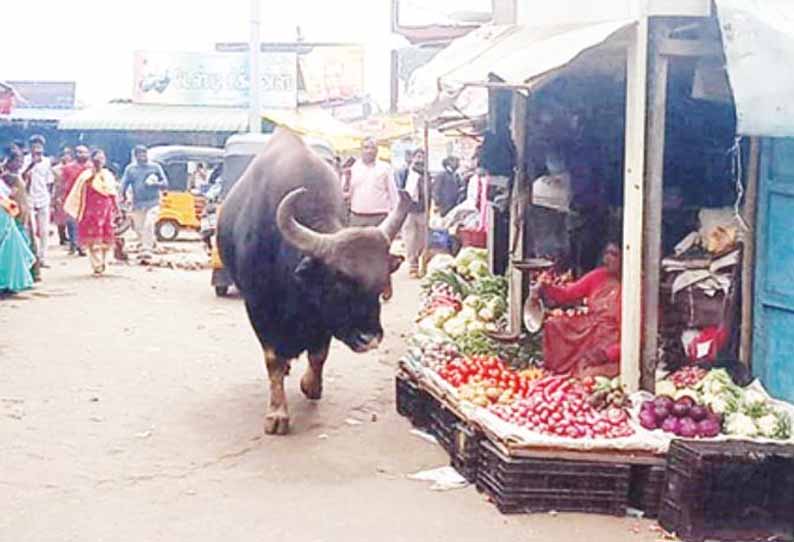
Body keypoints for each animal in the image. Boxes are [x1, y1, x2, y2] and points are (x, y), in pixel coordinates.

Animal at [217, 129, 408, 438]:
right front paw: (277, 414)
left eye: (381, 284)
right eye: (340, 279)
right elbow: (273, 360)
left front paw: (311, 386)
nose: (369, 338)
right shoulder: (258, 309)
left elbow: (319, 355)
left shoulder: (323, 318)